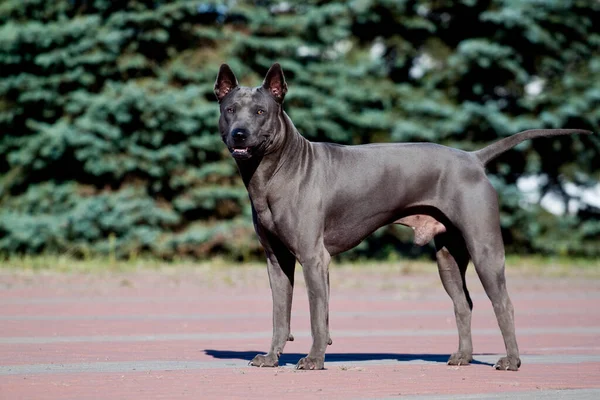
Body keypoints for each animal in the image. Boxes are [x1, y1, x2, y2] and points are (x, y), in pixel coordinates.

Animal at [213, 62, 588, 372]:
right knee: (463, 303)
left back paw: (511, 360)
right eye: (230, 110)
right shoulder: (277, 261)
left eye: (260, 111)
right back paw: (463, 357)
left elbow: (317, 315)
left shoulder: (313, 257)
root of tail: (473, 158)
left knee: (504, 304)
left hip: (485, 249)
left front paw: (315, 359)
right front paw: (271, 357)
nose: (239, 133)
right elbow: (280, 314)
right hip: (448, 258)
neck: (275, 172)